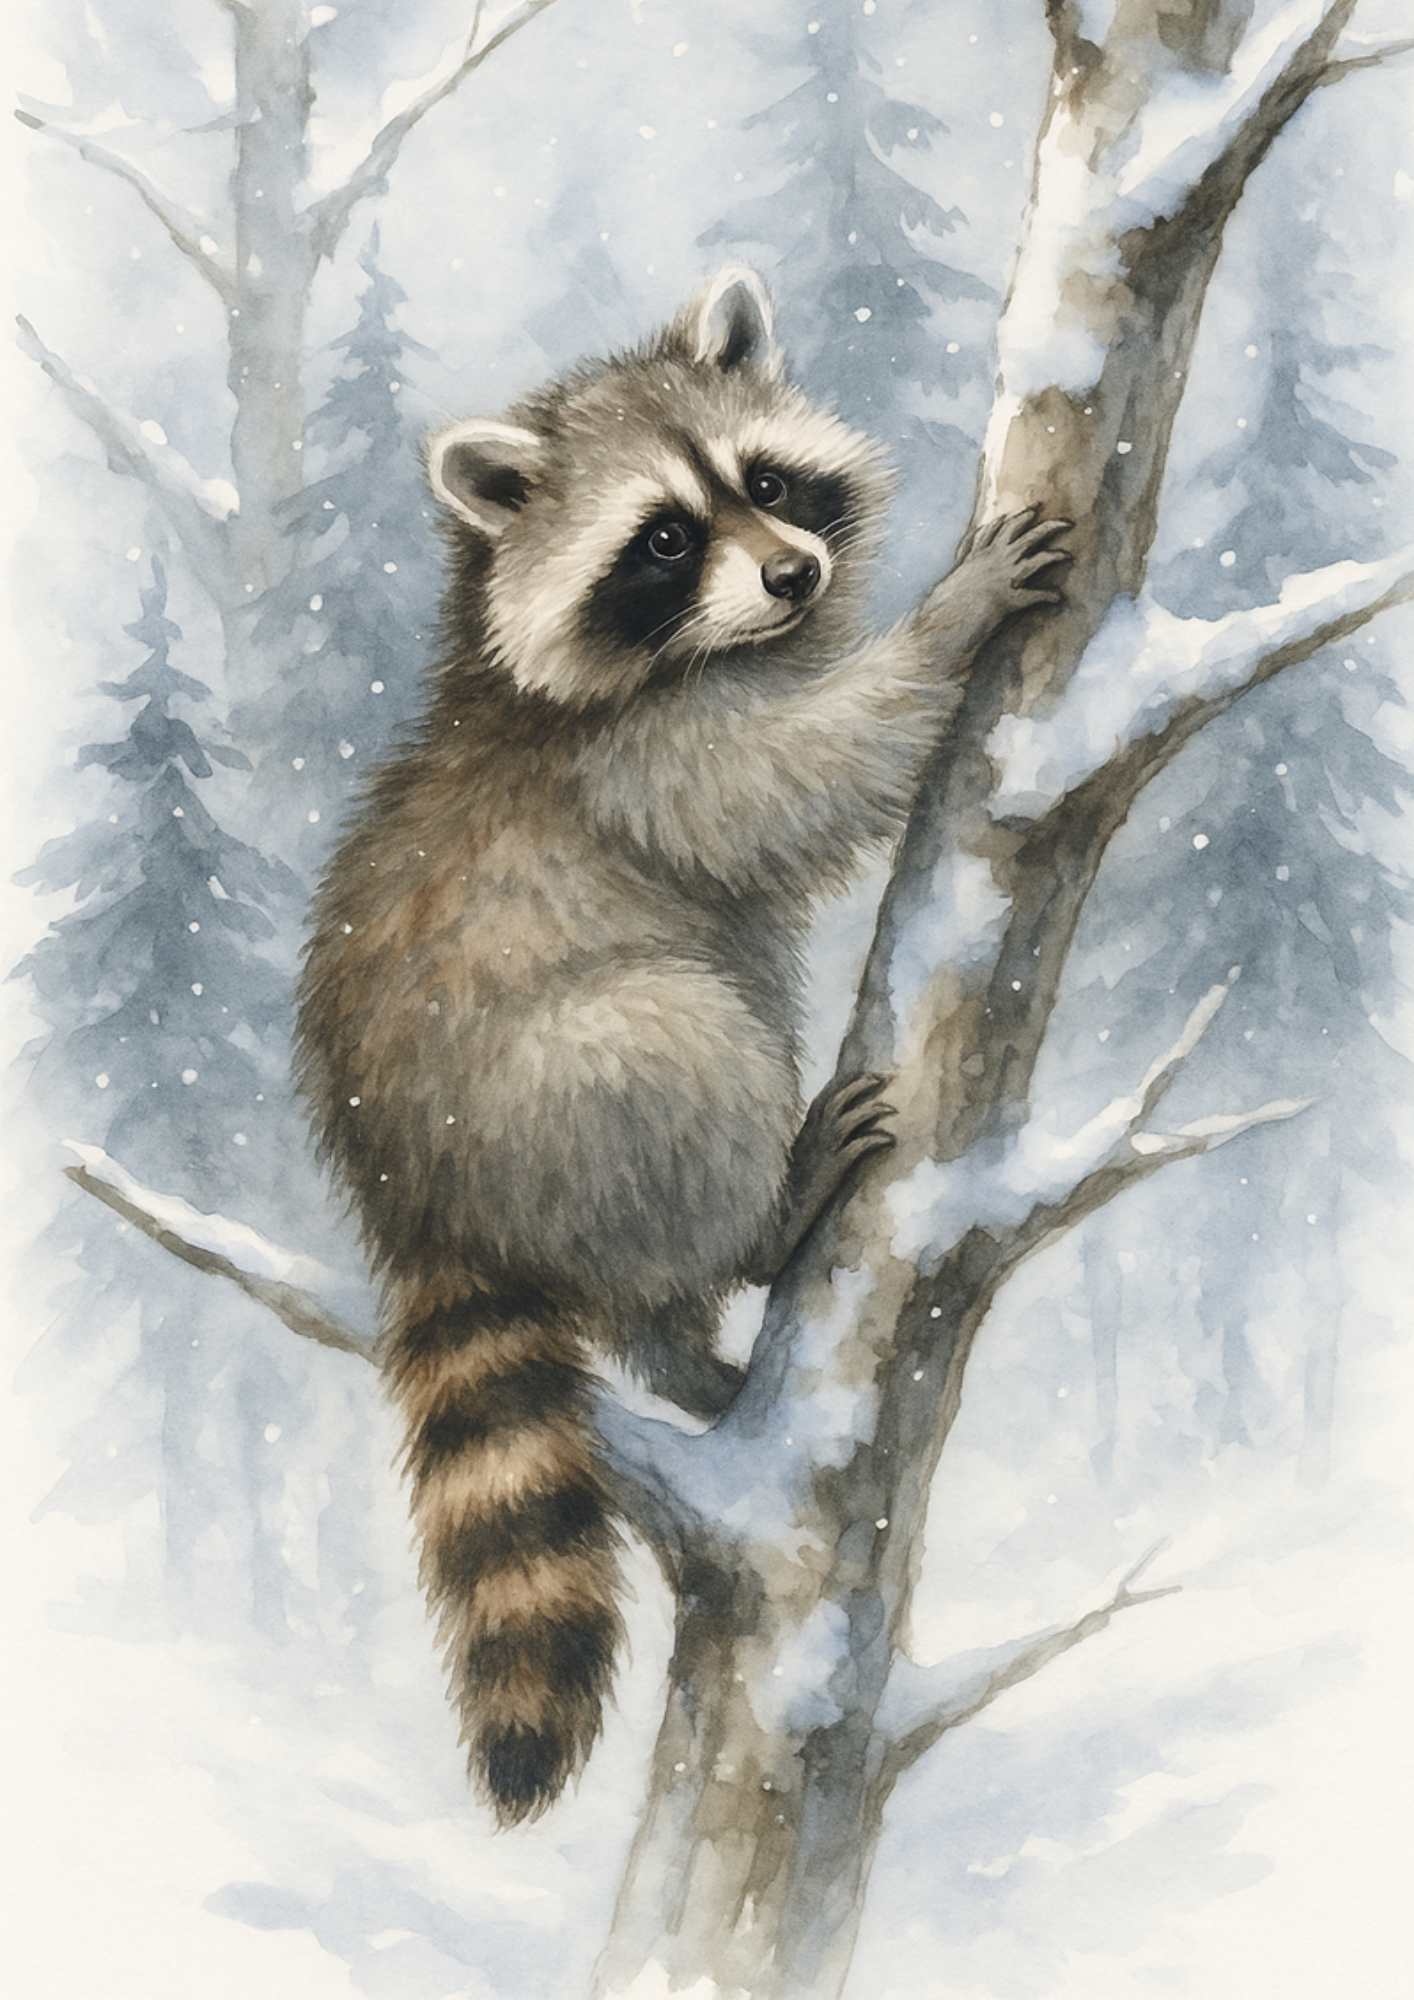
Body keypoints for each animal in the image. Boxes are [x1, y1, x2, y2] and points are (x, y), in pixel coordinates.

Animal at [296, 266, 1069, 1824]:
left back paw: (675, 1348)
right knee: (673, 1049)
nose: (792, 575)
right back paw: (763, 1224)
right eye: (661, 538)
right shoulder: (642, 759)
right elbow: (797, 773)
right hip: (551, 1096)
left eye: (764, 482)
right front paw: (943, 625)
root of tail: (413, 1195)